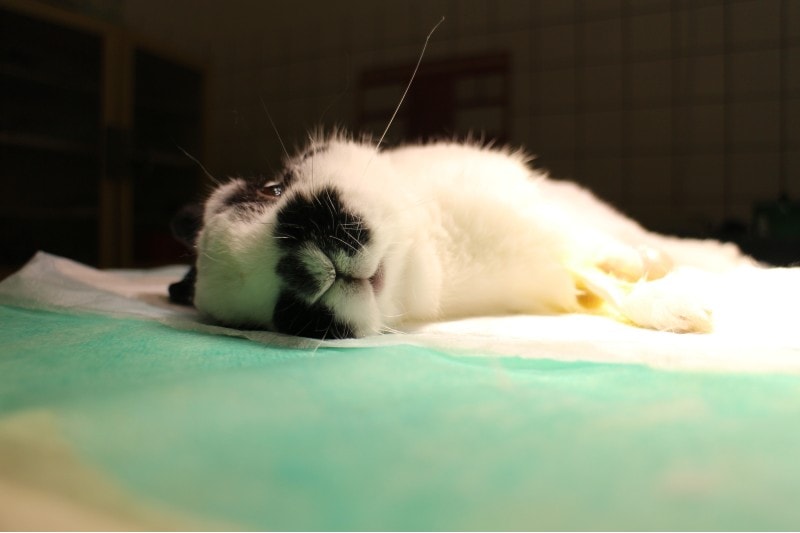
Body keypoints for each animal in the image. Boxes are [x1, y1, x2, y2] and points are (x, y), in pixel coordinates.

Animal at [169, 131, 756, 339]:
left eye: (273, 188)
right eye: (275, 315)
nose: (303, 268)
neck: (437, 261)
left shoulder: (540, 214)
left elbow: (601, 258)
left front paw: (673, 295)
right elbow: (602, 290)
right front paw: (683, 312)